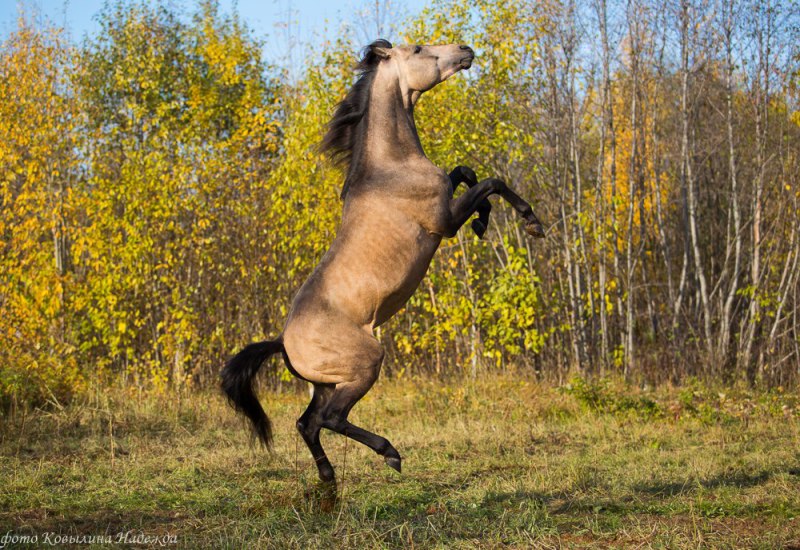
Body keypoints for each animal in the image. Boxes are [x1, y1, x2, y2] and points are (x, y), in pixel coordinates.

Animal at [219, 37, 544, 488]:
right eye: (420, 49)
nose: (466, 49)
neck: (391, 167)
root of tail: (282, 342)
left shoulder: (448, 202)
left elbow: (466, 172)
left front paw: (483, 222)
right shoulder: (444, 221)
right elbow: (489, 181)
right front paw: (531, 222)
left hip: (330, 381)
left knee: (308, 422)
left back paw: (328, 476)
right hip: (366, 364)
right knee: (331, 418)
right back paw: (390, 453)